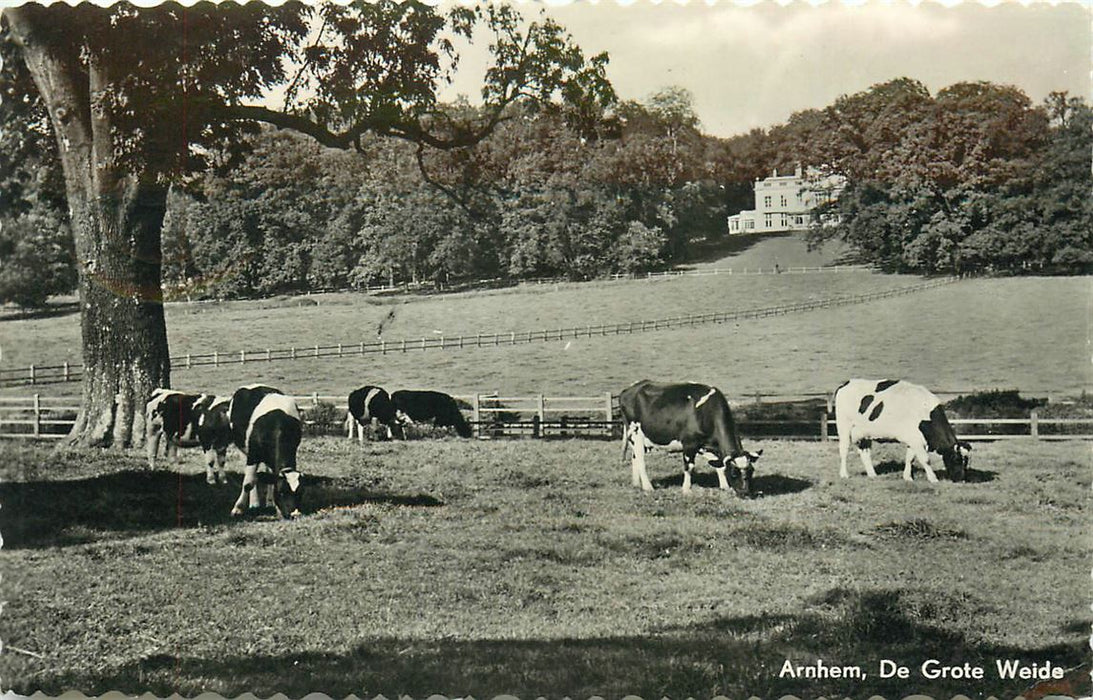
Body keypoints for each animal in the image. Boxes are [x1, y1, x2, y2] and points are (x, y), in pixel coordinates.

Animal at [227, 385, 303, 516]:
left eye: (300, 493)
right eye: (281, 492)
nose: (295, 514)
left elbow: (271, 479)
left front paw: (276, 507)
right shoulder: (253, 454)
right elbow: (248, 483)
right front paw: (238, 508)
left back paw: (269, 502)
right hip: (243, 449)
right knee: (251, 476)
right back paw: (254, 503)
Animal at [620, 380, 765, 494]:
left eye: (751, 471)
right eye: (734, 472)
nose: (745, 491)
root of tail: (629, 389)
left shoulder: (705, 446)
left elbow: (719, 465)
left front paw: (724, 486)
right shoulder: (689, 443)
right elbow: (689, 466)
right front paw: (686, 489)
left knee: (634, 457)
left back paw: (636, 483)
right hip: (636, 433)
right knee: (640, 459)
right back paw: (647, 487)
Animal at [830, 380, 970, 483]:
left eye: (966, 462)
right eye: (956, 459)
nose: (961, 479)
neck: (925, 412)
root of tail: (846, 383)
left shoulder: (913, 439)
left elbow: (910, 459)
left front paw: (907, 477)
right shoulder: (916, 441)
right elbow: (925, 459)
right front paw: (933, 479)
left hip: (864, 433)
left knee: (865, 452)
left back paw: (872, 474)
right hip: (844, 426)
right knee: (844, 450)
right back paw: (844, 474)